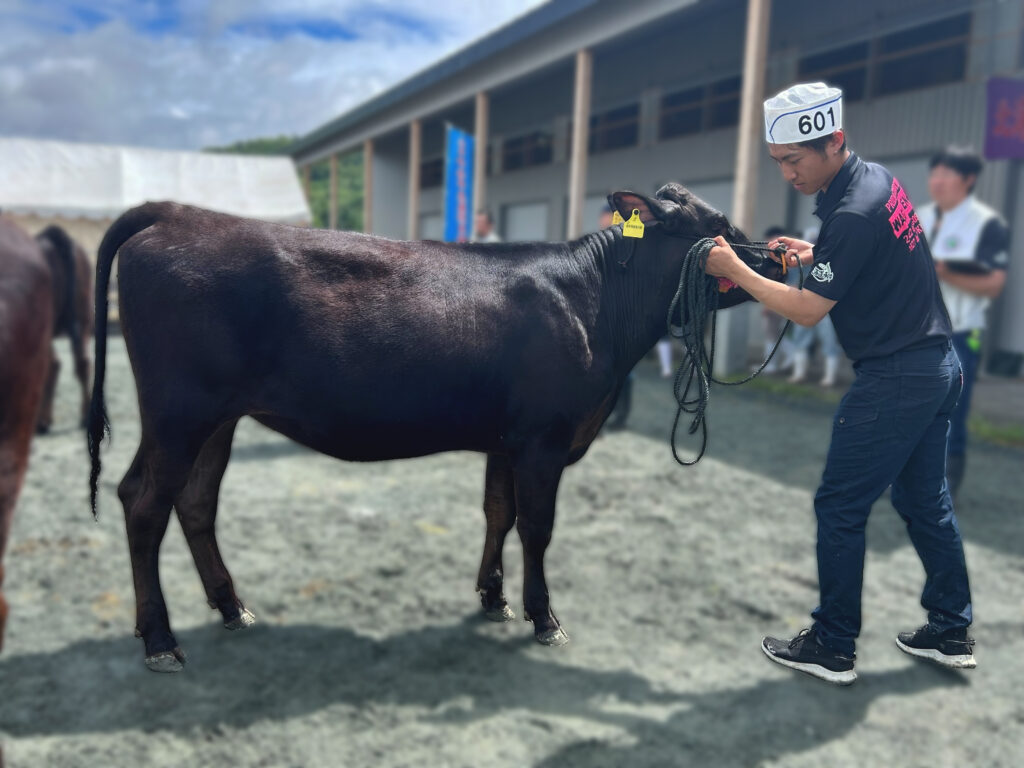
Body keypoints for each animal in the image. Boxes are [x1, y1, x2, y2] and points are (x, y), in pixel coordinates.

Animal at [90, 186, 782, 671]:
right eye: (720, 228)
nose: (783, 255)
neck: (595, 304)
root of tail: (178, 214)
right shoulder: (544, 440)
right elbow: (537, 528)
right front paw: (544, 618)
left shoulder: (508, 440)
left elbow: (498, 512)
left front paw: (492, 599)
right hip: (180, 413)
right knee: (145, 503)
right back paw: (160, 640)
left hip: (214, 420)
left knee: (192, 502)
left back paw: (233, 608)